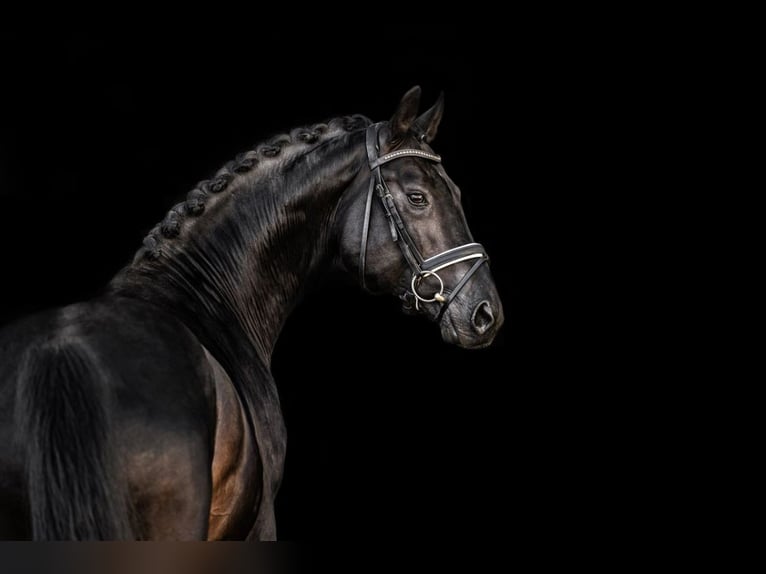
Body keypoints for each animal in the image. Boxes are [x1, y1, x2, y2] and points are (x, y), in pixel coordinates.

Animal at [0, 85, 504, 540]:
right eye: (418, 197)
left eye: (456, 191)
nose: (485, 313)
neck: (203, 294)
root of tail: (62, 353)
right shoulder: (258, 525)